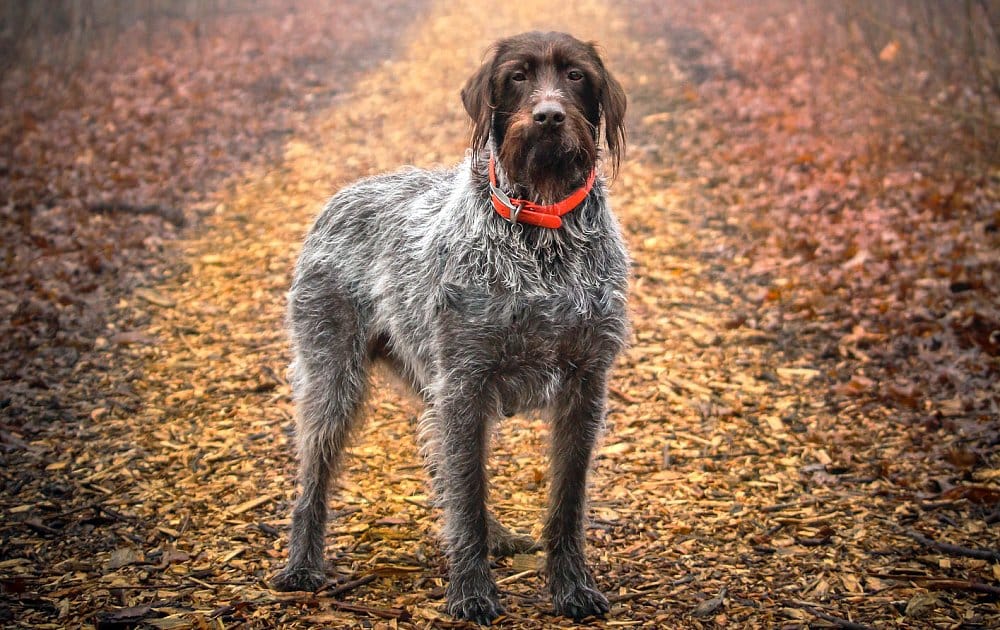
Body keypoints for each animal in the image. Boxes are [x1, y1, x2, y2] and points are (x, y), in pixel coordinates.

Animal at [272, 30, 632, 628]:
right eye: (517, 76)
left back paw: (498, 536)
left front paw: (572, 587)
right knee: (314, 480)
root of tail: (343, 194)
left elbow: (565, 502)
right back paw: (301, 566)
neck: (544, 229)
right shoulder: (464, 385)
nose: (548, 116)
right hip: (334, 381)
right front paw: (471, 593)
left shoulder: (585, 386)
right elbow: (466, 498)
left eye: (577, 75)